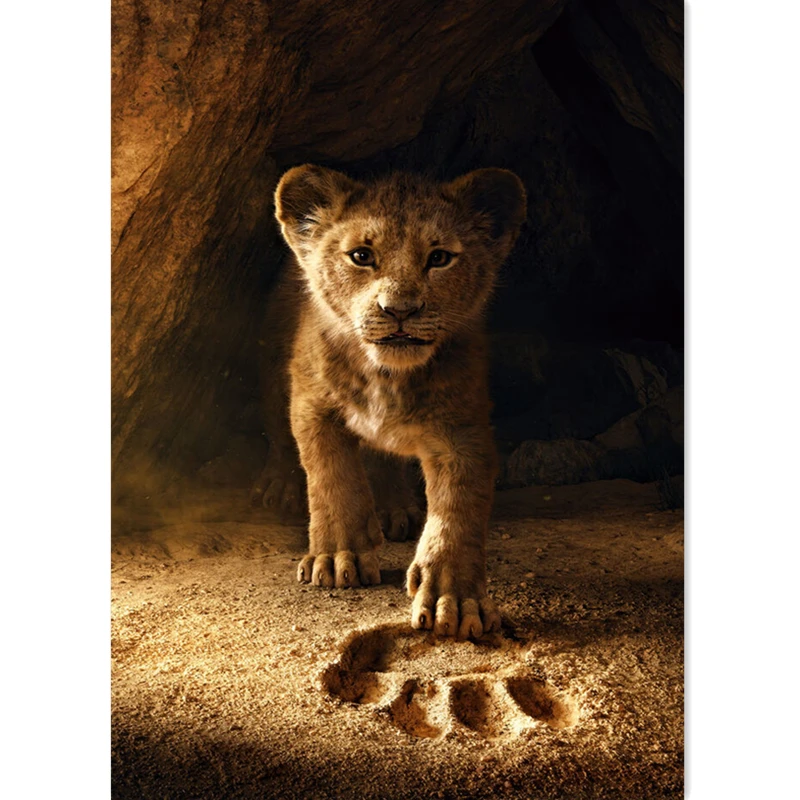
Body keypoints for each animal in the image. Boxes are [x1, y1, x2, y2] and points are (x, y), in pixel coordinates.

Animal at [254, 165, 526, 639]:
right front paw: (338, 557)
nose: (400, 310)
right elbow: (332, 477)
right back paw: (280, 485)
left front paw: (454, 600)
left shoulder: (463, 430)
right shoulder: (312, 404)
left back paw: (394, 507)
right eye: (361, 256)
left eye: (439, 258)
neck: (387, 375)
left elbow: (458, 509)